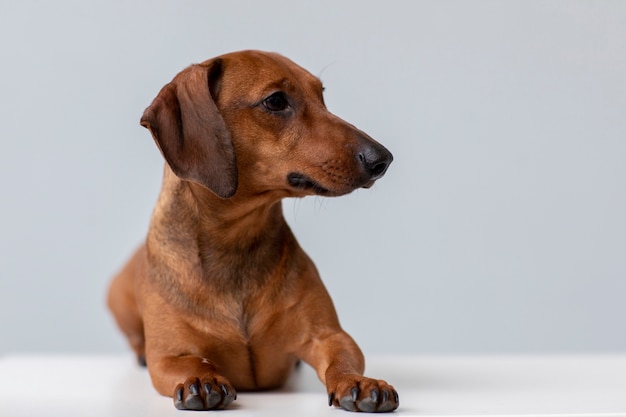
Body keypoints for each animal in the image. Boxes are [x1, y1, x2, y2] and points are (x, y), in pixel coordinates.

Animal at [107, 50, 398, 412]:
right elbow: (190, 361)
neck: (236, 244)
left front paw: (357, 381)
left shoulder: (330, 336)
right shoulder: (169, 355)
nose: (383, 159)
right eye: (275, 101)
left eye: (321, 95)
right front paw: (201, 378)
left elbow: (342, 357)